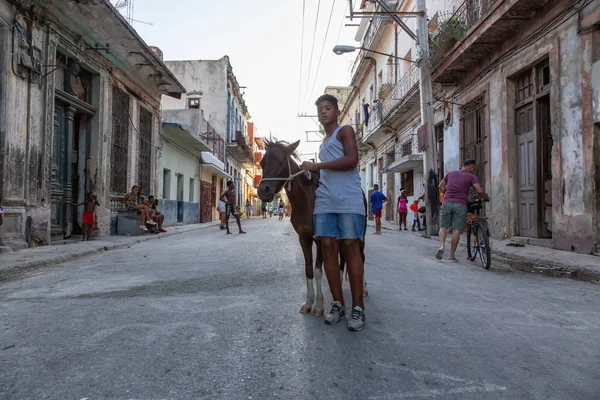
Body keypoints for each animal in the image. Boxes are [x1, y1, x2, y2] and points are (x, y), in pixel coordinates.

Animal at [256, 139, 368, 318]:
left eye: (280, 161)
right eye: (261, 163)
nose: (263, 191)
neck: (306, 200)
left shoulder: (320, 239)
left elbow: (318, 271)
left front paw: (319, 305)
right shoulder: (304, 239)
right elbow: (308, 270)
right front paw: (308, 303)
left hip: (360, 237)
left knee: (361, 258)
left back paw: (363, 288)